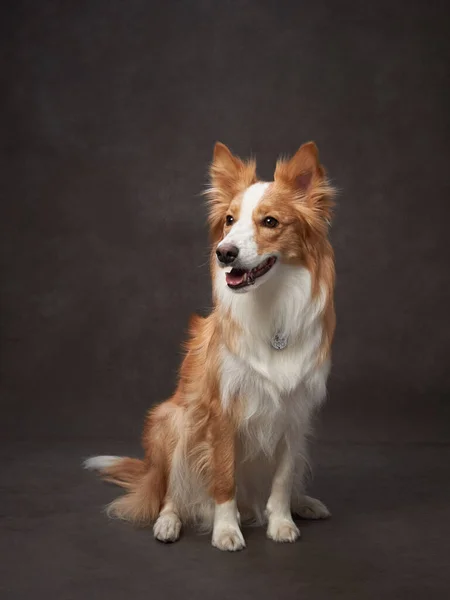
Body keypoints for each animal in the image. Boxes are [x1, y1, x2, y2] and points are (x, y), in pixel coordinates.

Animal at [86, 139, 336, 548]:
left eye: (270, 222)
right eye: (230, 221)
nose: (224, 253)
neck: (271, 306)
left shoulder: (294, 412)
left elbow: (282, 479)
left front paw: (282, 522)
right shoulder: (221, 413)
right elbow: (223, 478)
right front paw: (226, 530)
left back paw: (304, 503)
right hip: (175, 422)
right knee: (171, 494)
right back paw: (168, 523)